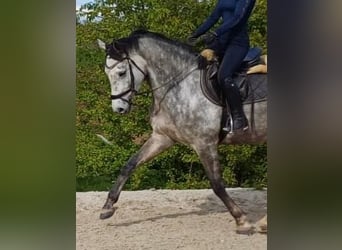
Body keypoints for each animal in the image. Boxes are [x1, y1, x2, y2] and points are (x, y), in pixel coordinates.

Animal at [96, 30, 268, 233]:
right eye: (106, 73)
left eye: (122, 72)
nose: (119, 109)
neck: (180, 84)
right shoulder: (162, 137)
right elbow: (129, 165)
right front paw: (107, 207)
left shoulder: (204, 143)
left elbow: (217, 184)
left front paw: (241, 219)